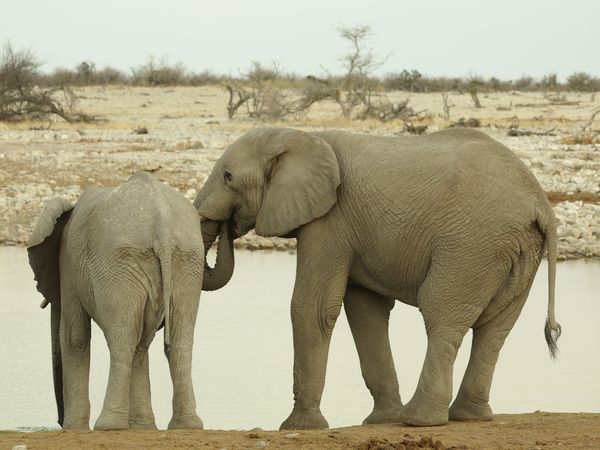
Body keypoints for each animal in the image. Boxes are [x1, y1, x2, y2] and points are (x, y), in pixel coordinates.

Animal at [29, 171, 233, 428]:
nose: (59, 419)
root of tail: (162, 225)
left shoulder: (69, 264)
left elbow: (75, 338)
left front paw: (73, 429)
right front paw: (143, 426)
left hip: (119, 264)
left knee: (124, 338)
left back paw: (108, 426)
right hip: (186, 261)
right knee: (175, 340)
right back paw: (185, 426)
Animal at [193, 126, 564, 428]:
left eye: (228, 177)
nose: (227, 226)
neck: (297, 135)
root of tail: (540, 203)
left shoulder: (330, 220)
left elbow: (312, 308)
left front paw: (299, 427)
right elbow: (365, 312)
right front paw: (380, 421)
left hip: (472, 244)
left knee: (442, 314)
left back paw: (419, 420)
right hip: (515, 249)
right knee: (496, 329)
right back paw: (467, 417)